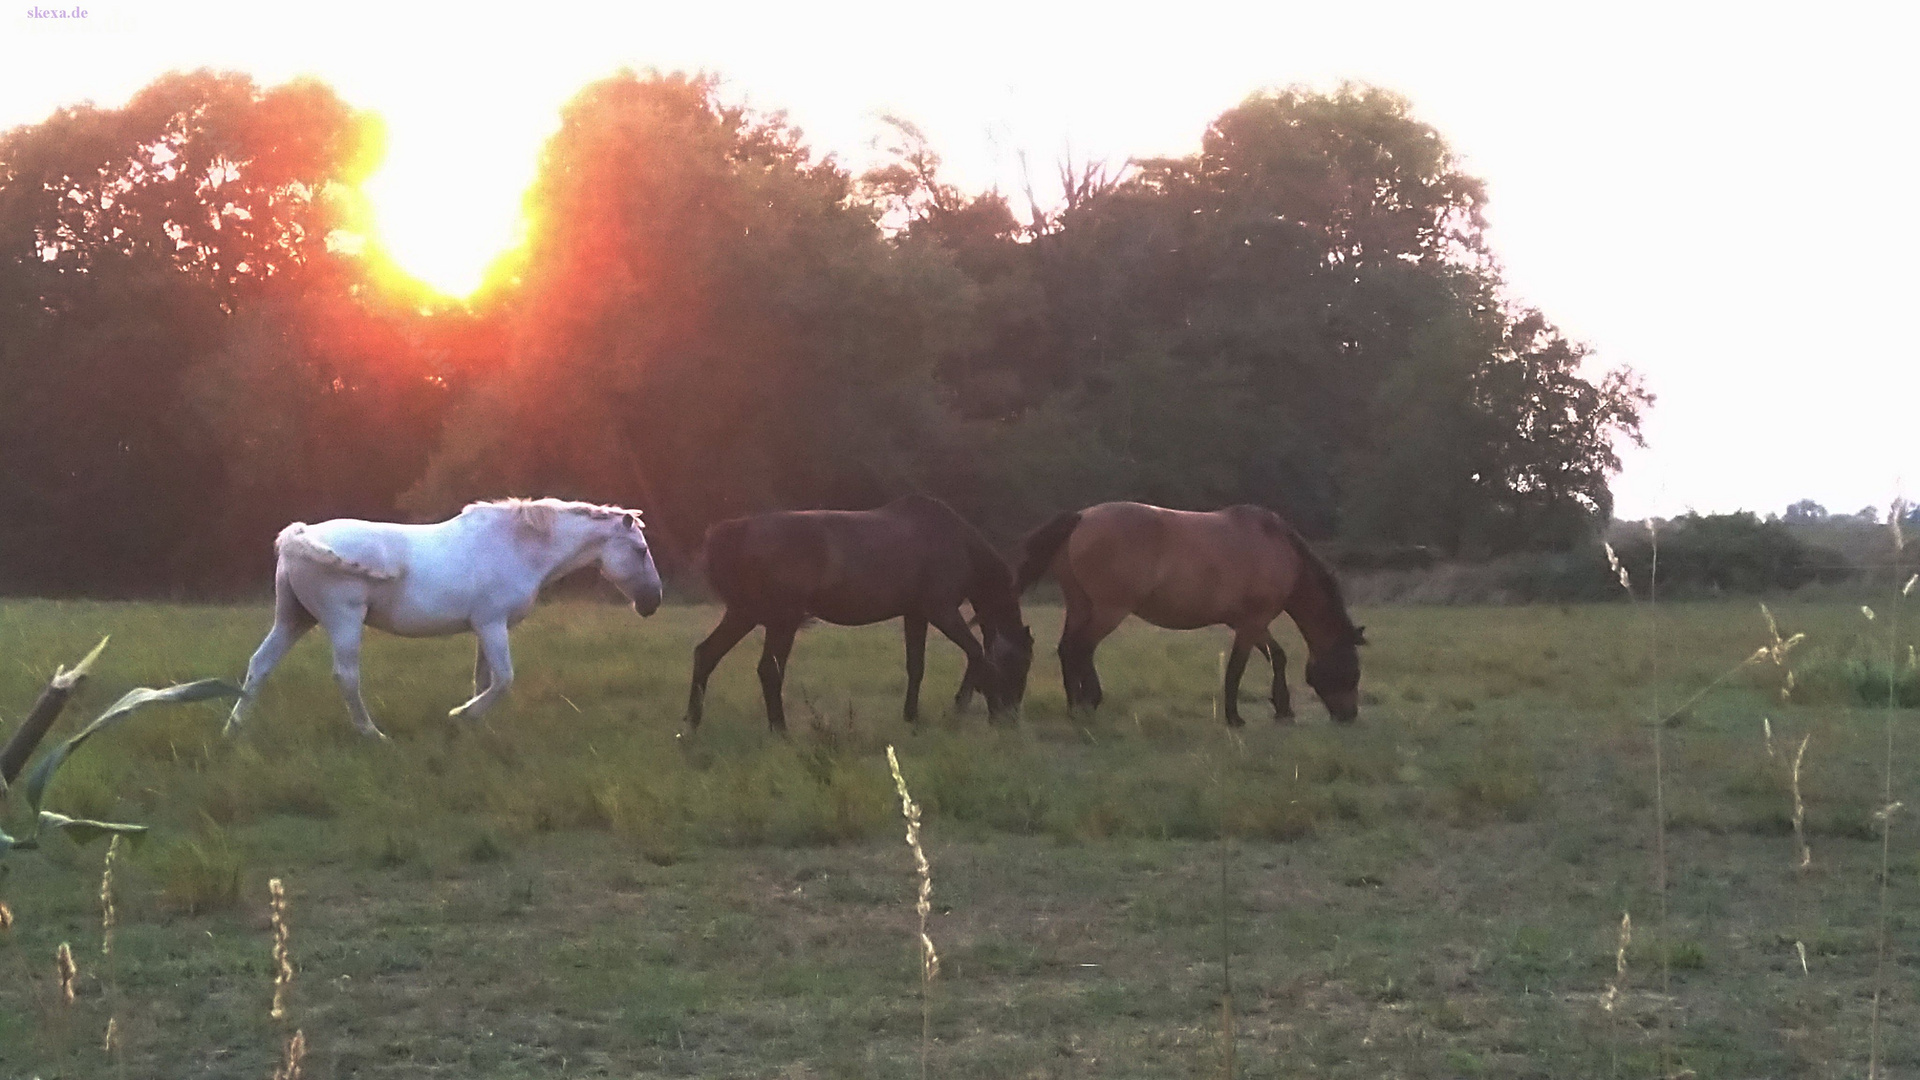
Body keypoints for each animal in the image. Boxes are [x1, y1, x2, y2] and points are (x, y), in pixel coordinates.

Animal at [228, 499, 664, 734]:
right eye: (640, 550)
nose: (653, 602)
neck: (517, 546)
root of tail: (299, 535)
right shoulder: (492, 625)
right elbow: (503, 680)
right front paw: (462, 715)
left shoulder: (485, 629)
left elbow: (485, 680)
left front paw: (475, 725)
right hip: (343, 621)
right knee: (346, 677)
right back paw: (372, 734)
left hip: (293, 620)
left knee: (259, 666)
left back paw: (234, 731)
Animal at [683, 491, 1029, 726]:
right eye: (1021, 663)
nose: (1012, 715)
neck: (957, 543)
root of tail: (739, 529)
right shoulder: (941, 611)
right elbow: (978, 654)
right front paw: (975, 708)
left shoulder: (916, 614)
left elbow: (916, 666)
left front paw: (912, 717)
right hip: (782, 620)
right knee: (768, 670)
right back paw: (780, 731)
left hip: (746, 614)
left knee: (706, 654)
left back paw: (691, 726)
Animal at [1021, 503, 1367, 722]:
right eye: (1352, 670)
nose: (1349, 716)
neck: (1279, 549)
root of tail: (1081, 517)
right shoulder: (1251, 624)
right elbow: (1236, 669)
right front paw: (1233, 716)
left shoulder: (1251, 623)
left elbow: (1278, 658)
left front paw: (1283, 708)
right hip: (1109, 610)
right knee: (1082, 648)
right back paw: (1090, 701)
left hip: (1080, 605)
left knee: (1068, 649)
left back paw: (1073, 706)